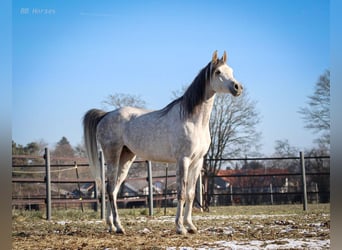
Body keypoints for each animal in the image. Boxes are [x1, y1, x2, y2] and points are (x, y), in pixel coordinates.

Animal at [83, 50, 243, 234]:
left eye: (231, 70)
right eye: (218, 72)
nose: (238, 87)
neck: (193, 120)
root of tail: (106, 115)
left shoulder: (197, 161)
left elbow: (190, 194)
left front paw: (190, 226)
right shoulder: (183, 160)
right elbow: (181, 193)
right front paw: (180, 227)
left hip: (126, 158)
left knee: (114, 190)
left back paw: (112, 226)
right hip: (112, 156)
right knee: (109, 189)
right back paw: (119, 227)